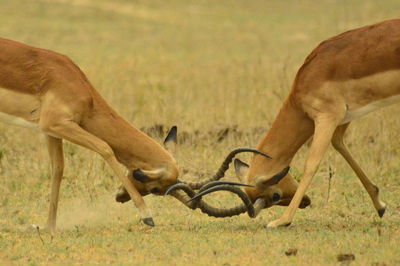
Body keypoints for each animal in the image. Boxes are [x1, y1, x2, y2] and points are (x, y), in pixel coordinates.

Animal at [0, 37, 270, 233]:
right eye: (156, 188)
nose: (120, 197)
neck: (78, 86)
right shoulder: (58, 123)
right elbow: (105, 148)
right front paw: (147, 216)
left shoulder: (50, 129)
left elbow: (58, 169)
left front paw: (48, 226)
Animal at [184, 19, 400, 227]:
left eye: (275, 195)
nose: (306, 201)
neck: (307, 78)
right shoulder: (343, 118)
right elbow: (339, 144)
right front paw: (380, 205)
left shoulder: (326, 117)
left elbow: (311, 163)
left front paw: (282, 221)